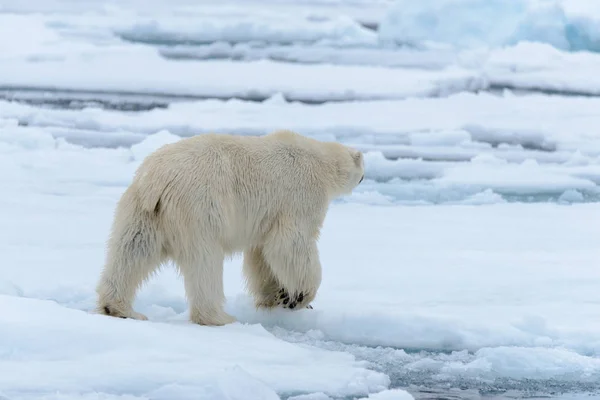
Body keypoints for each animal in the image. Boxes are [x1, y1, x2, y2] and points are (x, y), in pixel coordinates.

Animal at [96, 130, 364, 326]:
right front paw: (299, 297)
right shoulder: (300, 198)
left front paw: (276, 298)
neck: (321, 161)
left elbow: (261, 256)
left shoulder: (265, 219)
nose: (363, 176)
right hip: (200, 207)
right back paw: (219, 317)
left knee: (131, 250)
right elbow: (290, 244)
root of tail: (156, 180)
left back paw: (119, 308)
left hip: (143, 211)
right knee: (205, 262)